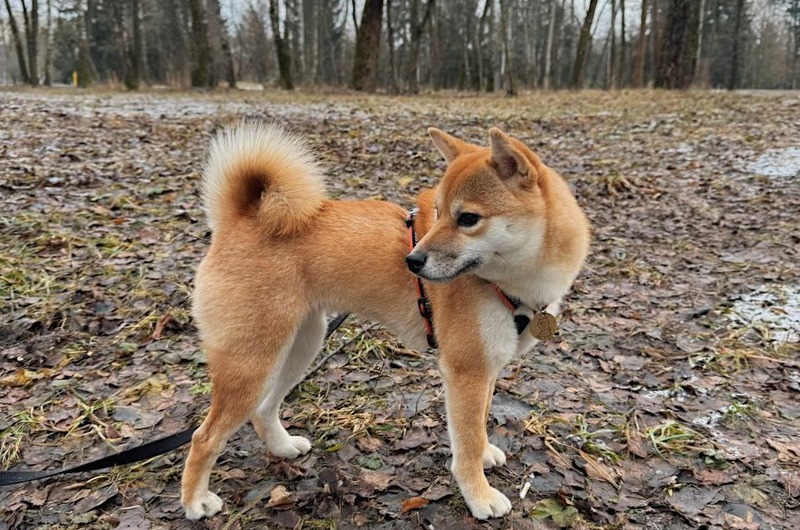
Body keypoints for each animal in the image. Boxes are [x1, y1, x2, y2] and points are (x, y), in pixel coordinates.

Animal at [184, 121, 592, 516]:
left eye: (468, 218)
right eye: (438, 212)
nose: (412, 261)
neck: (510, 285)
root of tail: (240, 220)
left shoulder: (486, 368)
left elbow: (479, 425)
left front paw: (486, 452)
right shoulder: (468, 370)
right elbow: (468, 440)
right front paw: (480, 496)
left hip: (299, 347)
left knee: (263, 410)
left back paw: (282, 446)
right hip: (253, 363)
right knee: (204, 437)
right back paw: (194, 502)